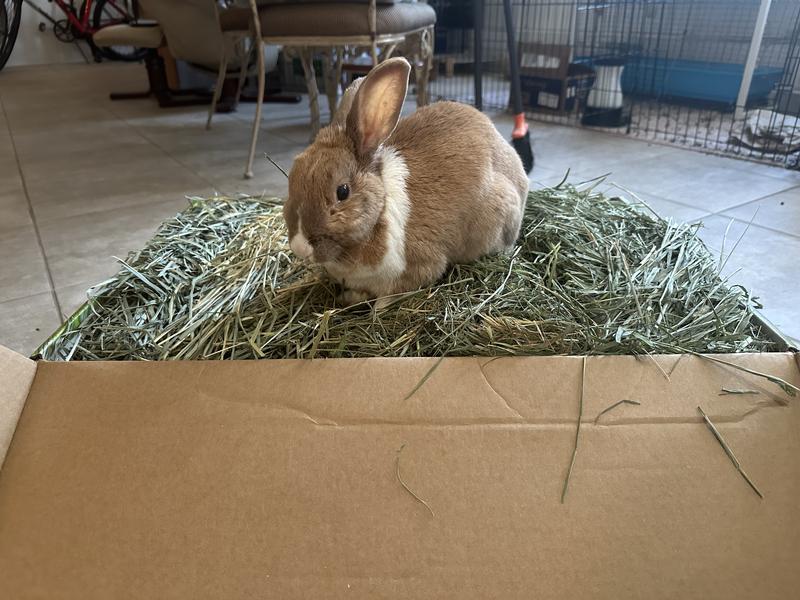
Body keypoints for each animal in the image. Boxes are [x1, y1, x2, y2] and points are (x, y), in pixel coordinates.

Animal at [283, 57, 529, 307]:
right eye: (292, 177)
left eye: (342, 192)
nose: (300, 247)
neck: (379, 211)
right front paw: (349, 297)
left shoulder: (417, 268)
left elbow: (391, 296)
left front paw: (375, 309)